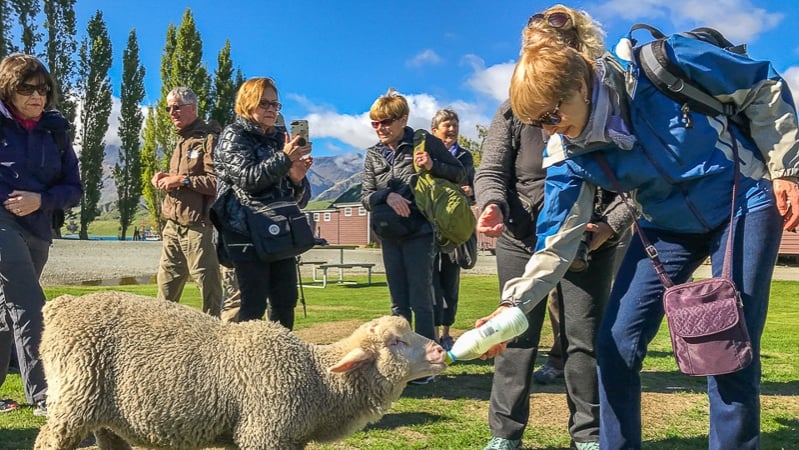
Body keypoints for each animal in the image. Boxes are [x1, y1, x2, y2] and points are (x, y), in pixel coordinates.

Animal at [36, 292, 450, 450]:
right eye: (395, 342)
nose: (439, 350)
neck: (317, 379)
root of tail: (61, 305)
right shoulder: (262, 432)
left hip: (104, 413)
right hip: (73, 398)